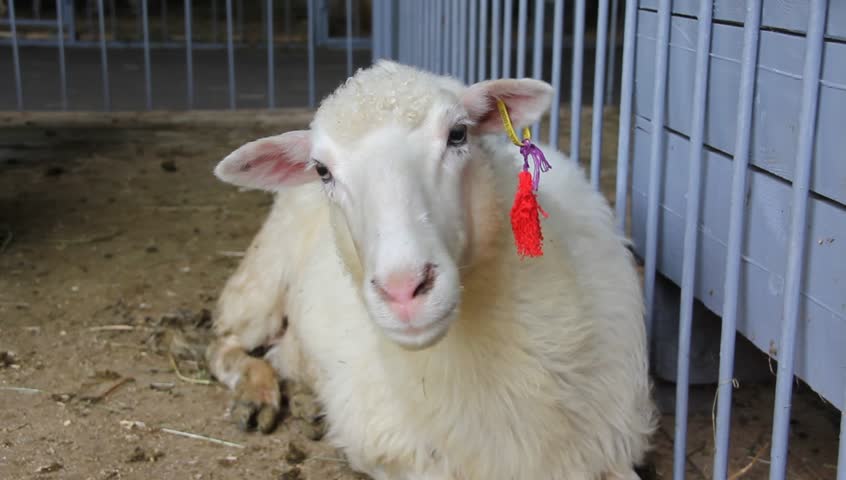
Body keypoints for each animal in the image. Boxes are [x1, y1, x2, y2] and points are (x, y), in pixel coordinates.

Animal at [206, 60, 657, 480]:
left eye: (458, 134)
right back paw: (256, 392)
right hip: (262, 276)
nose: (403, 289)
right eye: (322, 170)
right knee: (223, 342)